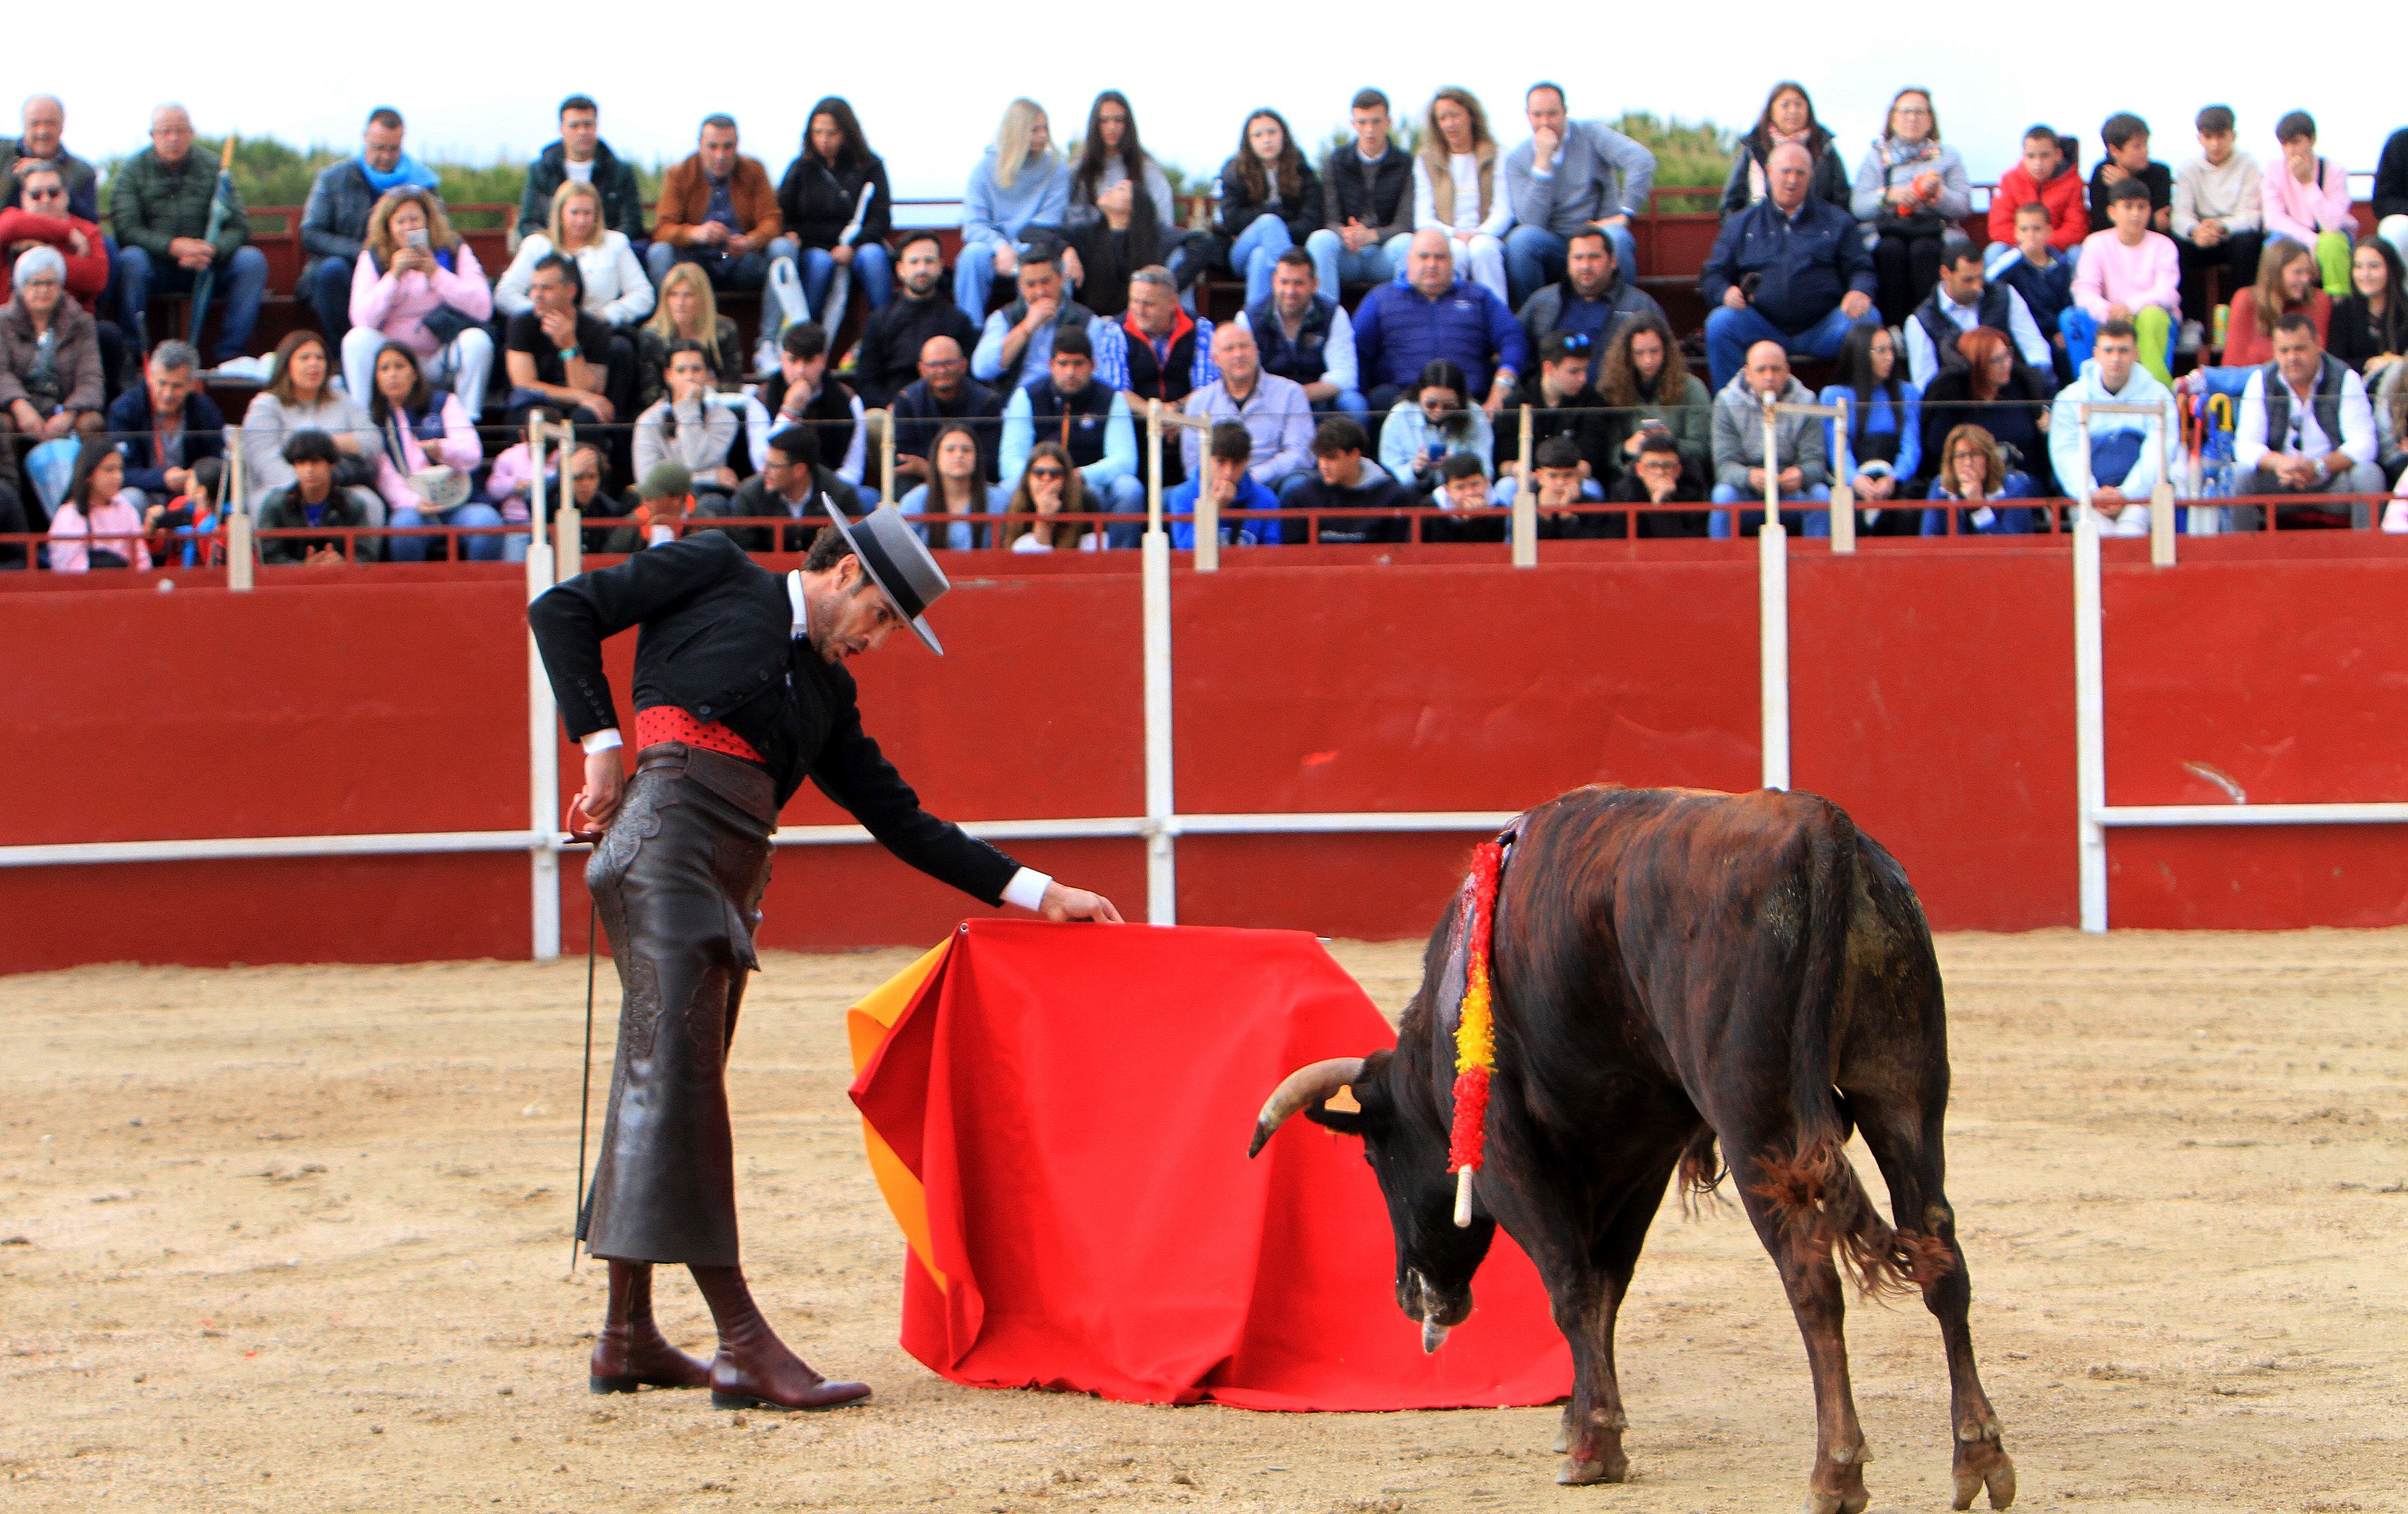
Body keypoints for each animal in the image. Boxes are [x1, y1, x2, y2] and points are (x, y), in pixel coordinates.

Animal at [1252, 785, 2023, 1502]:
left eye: (1373, 1158)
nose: (1413, 1297)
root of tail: (1818, 826)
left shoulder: (1509, 1154)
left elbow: (1569, 1284)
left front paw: (1592, 1447)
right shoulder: (1639, 1155)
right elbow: (1606, 1287)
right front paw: (1584, 1422)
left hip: (1757, 1121)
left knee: (1810, 1274)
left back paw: (1835, 1474)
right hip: (1904, 1089)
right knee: (1939, 1251)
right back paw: (1979, 1459)